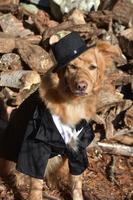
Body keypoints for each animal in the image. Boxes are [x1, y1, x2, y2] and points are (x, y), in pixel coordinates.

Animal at [0, 31, 122, 200]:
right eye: (72, 66)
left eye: (92, 67)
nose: (81, 86)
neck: (72, 104)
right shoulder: (36, 146)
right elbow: (36, 185)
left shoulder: (77, 147)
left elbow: (77, 183)